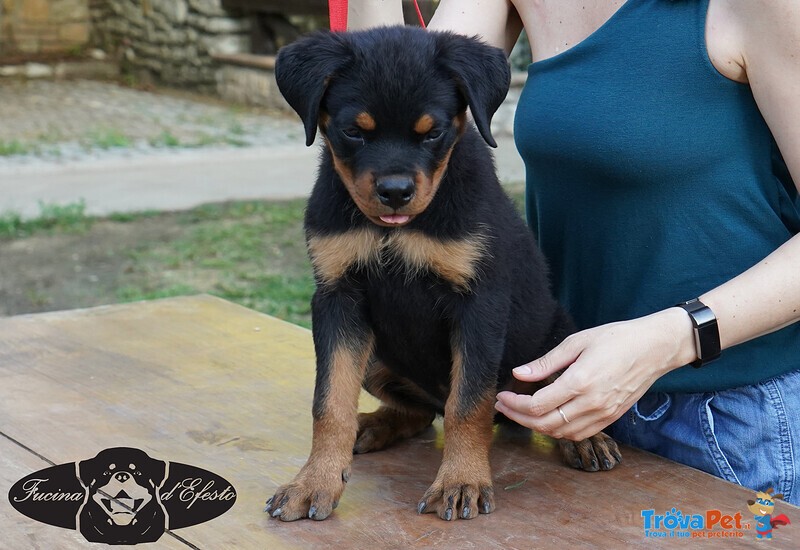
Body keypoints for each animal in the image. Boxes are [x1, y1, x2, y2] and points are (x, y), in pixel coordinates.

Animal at [266, 27, 620, 528]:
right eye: (354, 131)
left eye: (432, 132)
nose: (395, 193)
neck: (396, 230)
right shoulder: (337, 297)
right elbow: (329, 402)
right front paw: (313, 482)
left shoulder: (480, 303)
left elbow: (467, 403)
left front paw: (461, 481)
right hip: (376, 358)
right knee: (419, 413)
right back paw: (374, 424)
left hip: (555, 344)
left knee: (540, 404)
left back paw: (585, 438)